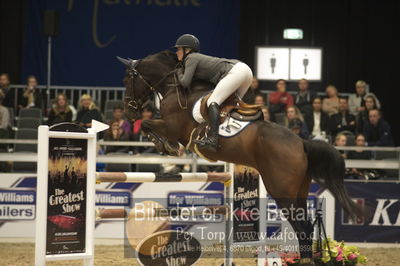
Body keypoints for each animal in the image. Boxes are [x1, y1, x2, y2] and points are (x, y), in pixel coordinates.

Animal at [117, 51, 364, 264]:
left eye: (127, 79)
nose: (128, 111)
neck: (174, 86)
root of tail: (301, 143)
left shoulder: (173, 127)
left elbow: (149, 124)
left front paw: (166, 146)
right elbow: (149, 124)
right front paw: (166, 145)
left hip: (281, 191)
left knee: (302, 228)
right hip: (300, 190)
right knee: (306, 226)